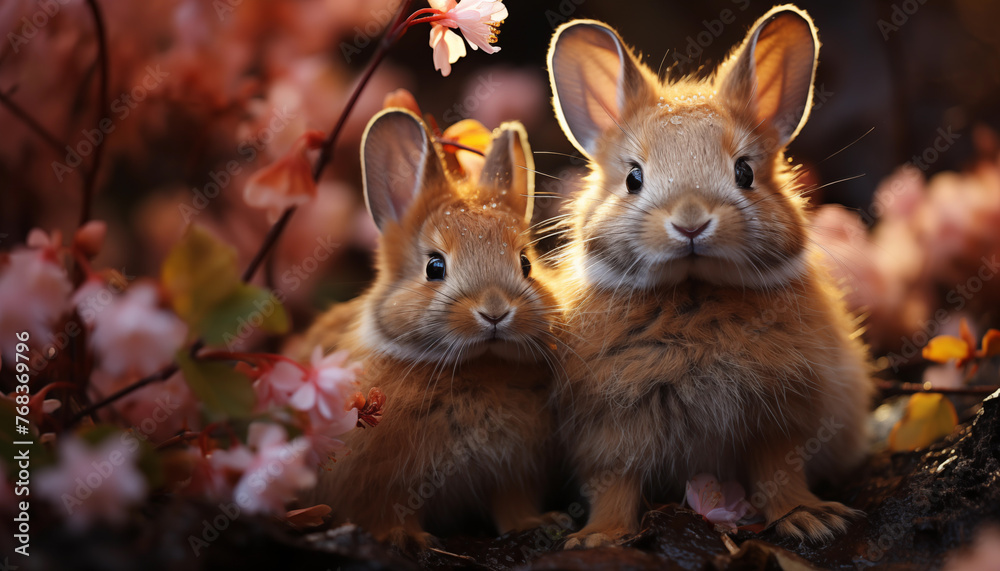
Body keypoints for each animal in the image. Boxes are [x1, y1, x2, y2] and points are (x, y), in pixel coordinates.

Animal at [298, 108, 560, 550]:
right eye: (434, 267)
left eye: (526, 264)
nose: (495, 311)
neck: (476, 365)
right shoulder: (381, 480)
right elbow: (388, 510)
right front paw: (403, 538)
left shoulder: (515, 473)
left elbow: (513, 505)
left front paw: (535, 523)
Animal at [544, 5, 873, 547]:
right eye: (633, 178)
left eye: (745, 173)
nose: (691, 221)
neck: (693, 293)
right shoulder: (609, 432)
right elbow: (615, 483)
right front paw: (599, 538)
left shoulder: (779, 420)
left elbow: (778, 472)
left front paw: (809, 518)